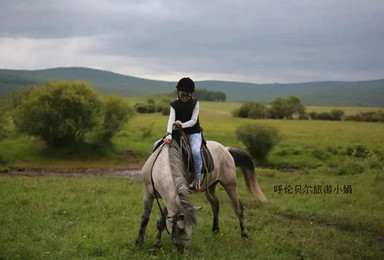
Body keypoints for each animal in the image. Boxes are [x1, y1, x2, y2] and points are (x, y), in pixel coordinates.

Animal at [136, 140, 268, 252]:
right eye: (180, 228)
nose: (183, 250)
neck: (161, 167)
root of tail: (226, 149)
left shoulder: (169, 198)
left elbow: (161, 222)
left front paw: (155, 246)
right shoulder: (147, 193)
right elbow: (144, 219)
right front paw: (139, 243)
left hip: (230, 184)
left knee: (238, 208)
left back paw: (244, 236)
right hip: (211, 186)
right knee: (215, 204)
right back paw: (215, 230)